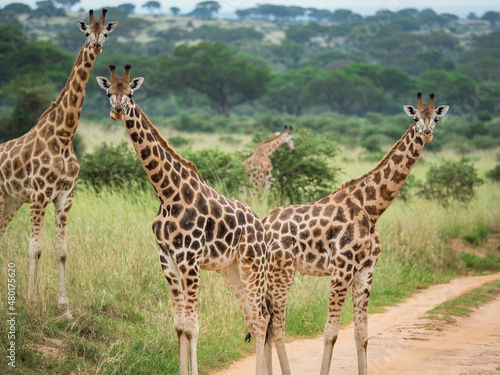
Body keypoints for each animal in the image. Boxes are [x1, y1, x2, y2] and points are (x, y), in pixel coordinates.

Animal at [0, 9, 118, 320]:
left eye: (106, 32)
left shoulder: (65, 196)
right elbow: (35, 249)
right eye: (86, 32)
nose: (96, 46)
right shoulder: (39, 195)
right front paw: (30, 304)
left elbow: (61, 251)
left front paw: (65, 309)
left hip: (11, 200)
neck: (64, 135)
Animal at [95, 65, 272, 375]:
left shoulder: (190, 259)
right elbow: (178, 326)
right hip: (231, 269)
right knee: (252, 318)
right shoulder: (166, 258)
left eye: (130, 94)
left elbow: (192, 326)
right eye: (108, 93)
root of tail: (261, 227)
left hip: (253, 264)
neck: (167, 193)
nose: (117, 111)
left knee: (261, 317)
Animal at [262, 92, 450, 375]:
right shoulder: (342, 268)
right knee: (276, 328)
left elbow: (362, 334)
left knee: (265, 325)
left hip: (275, 273)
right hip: (281, 272)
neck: (372, 209)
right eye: (415, 118)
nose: (426, 133)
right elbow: (330, 333)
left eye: (435, 118)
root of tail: (262, 223)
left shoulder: (365, 270)